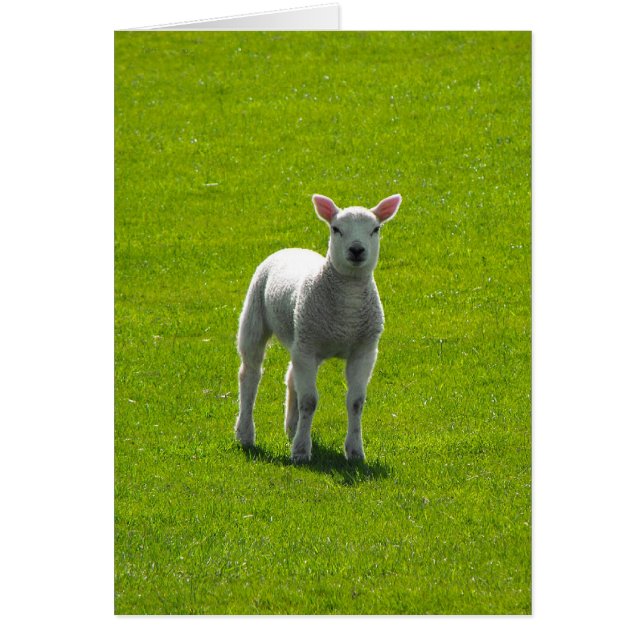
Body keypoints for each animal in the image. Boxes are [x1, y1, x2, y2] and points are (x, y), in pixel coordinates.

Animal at [234, 193, 402, 463]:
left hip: (302, 337)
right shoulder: (308, 348)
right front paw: (301, 451)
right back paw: (245, 434)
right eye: (336, 229)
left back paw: (291, 428)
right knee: (250, 374)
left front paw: (355, 451)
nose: (357, 250)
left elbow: (356, 402)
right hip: (256, 316)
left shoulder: (364, 350)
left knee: (290, 375)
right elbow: (309, 401)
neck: (347, 307)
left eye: (375, 229)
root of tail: (292, 248)